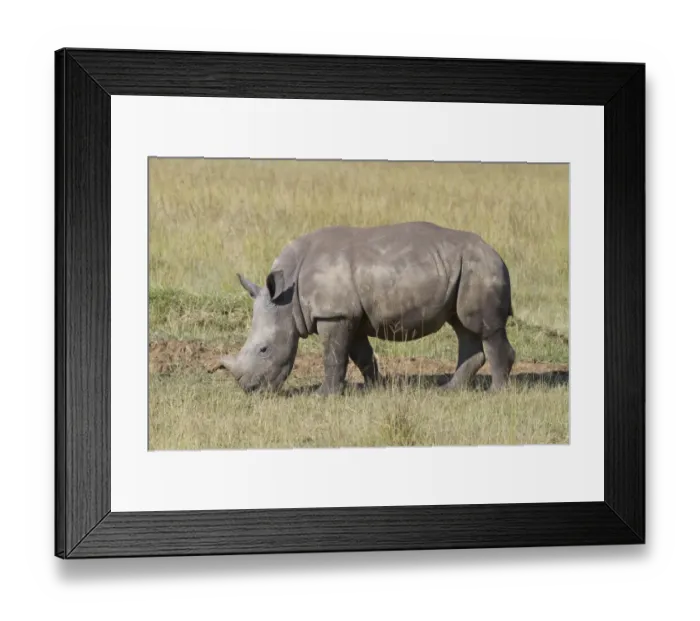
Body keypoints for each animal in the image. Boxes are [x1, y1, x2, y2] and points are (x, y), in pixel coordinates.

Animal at [218, 221, 515, 395]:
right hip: (463, 270)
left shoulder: (334, 314)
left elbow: (333, 356)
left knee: (484, 328)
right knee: (462, 325)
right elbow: (361, 355)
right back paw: (448, 390)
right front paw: (374, 388)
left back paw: (496, 393)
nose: (249, 389)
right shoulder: (351, 316)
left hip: (481, 268)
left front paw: (324, 395)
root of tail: (496, 253)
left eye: (264, 349)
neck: (287, 298)